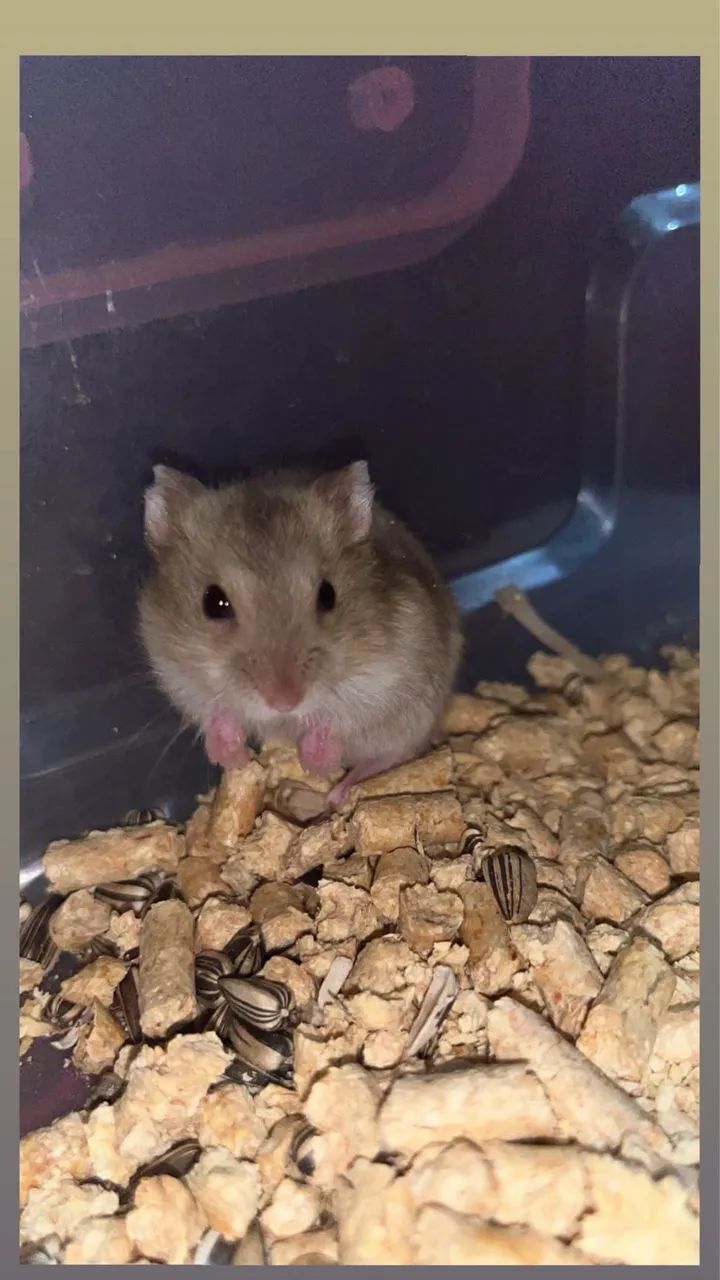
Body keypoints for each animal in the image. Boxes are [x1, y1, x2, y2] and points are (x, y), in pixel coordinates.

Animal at [138, 460, 463, 808]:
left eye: (328, 595)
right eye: (213, 602)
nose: (284, 702)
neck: (285, 720)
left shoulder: (389, 675)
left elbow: (335, 716)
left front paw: (313, 763)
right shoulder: (178, 677)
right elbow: (217, 714)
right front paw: (234, 759)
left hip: (415, 720)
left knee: (384, 759)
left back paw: (336, 794)